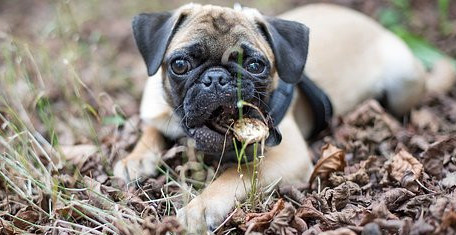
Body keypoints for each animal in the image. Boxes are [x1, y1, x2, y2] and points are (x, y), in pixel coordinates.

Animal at [113, 3, 452, 233]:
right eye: (180, 65)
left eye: (254, 65)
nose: (217, 78)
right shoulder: (156, 111)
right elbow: (150, 132)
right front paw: (134, 159)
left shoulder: (287, 156)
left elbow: (237, 173)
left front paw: (200, 207)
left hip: (403, 80)